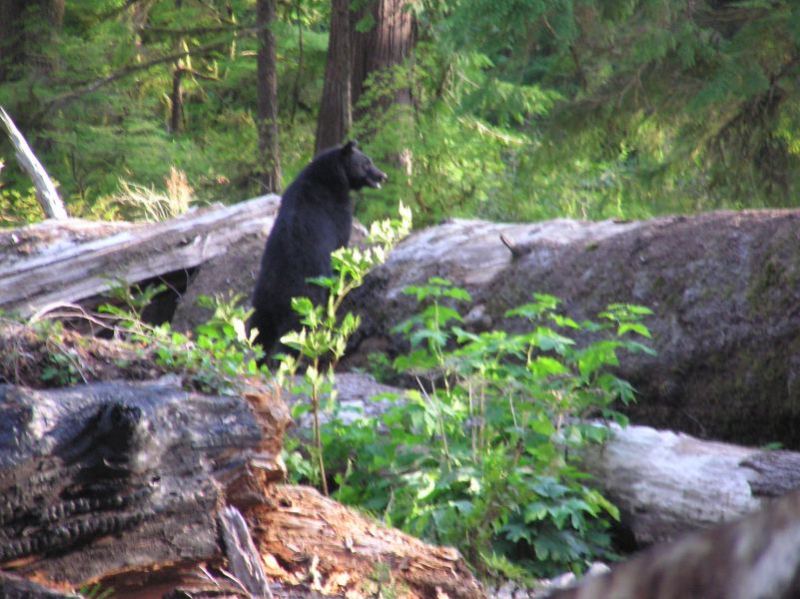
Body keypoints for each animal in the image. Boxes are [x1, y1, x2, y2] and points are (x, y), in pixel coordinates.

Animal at [250, 140, 388, 356]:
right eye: (366, 163)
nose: (382, 175)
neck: (332, 177)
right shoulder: (336, 211)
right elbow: (340, 247)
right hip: (303, 300)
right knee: (293, 334)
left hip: (261, 302)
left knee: (257, 332)